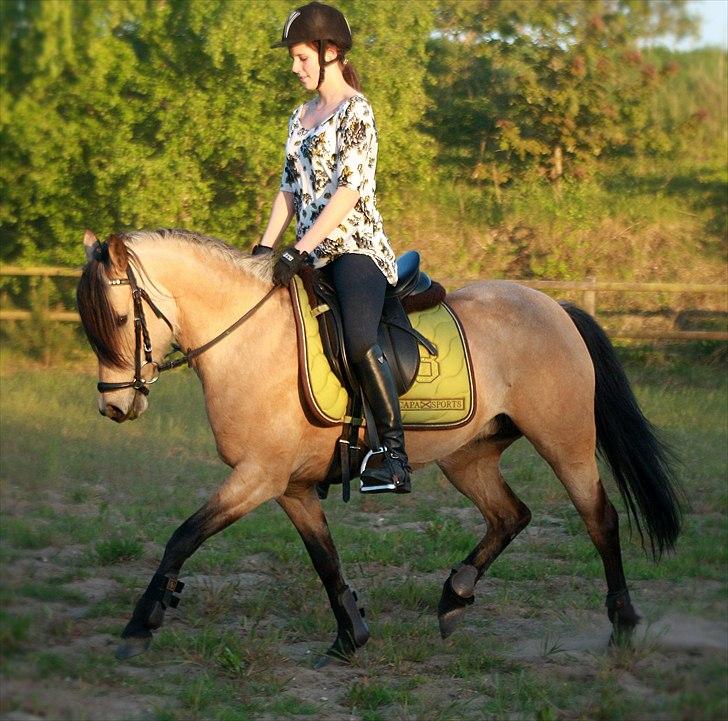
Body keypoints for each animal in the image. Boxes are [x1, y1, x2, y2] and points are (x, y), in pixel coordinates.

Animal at [75, 228, 682, 663]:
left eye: (122, 317)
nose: (115, 407)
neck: (250, 339)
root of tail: (557, 308)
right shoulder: (290, 486)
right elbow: (325, 560)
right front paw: (351, 636)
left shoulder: (258, 476)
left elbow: (183, 536)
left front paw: (140, 625)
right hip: (469, 456)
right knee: (511, 515)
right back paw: (454, 597)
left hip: (566, 443)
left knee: (600, 519)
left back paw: (623, 624)